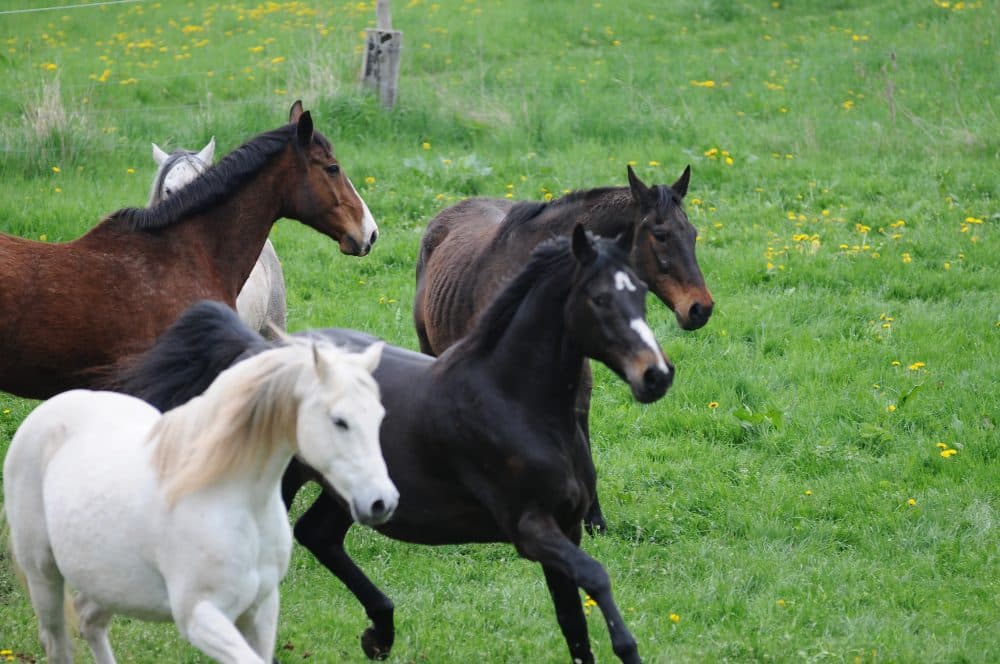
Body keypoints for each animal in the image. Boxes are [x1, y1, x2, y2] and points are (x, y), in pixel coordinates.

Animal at [4, 337, 397, 664]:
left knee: (89, 620)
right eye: (340, 421)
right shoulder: (201, 616)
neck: (233, 501)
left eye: (380, 416)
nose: (382, 502)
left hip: (107, 581)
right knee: (58, 643)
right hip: (44, 575)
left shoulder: (261, 609)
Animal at [113, 225, 672, 663]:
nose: (657, 376)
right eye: (599, 298)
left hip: (351, 490)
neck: (514, 401)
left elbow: (573, 622)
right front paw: (630, 648)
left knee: (318, 535)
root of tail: (256, 349)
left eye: (642, 295)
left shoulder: (567, 526)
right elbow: (596, 578)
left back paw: (380, 633)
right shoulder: (529, 527)